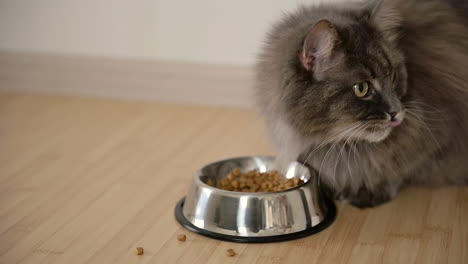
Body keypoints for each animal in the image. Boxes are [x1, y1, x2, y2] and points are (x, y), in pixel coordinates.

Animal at [254, 0, 468, 207]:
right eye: (362, 88)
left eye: (393, 77)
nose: (396, 112)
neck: (341, 145)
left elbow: (395, 168)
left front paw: (369, 192)